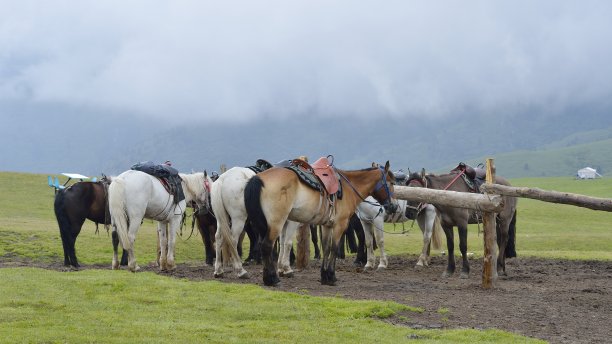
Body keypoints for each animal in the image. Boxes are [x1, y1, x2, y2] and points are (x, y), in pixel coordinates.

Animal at [244, 159, 396, 288]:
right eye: (391, 183)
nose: (393, 206)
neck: (348, 187)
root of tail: (258, 178)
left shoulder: (327, 225)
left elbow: (326, 248)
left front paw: (324, 276)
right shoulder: (340, 224)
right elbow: (334, 248)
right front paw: (332, 276)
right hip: (276, 222)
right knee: (266, 246)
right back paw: (272, 279)